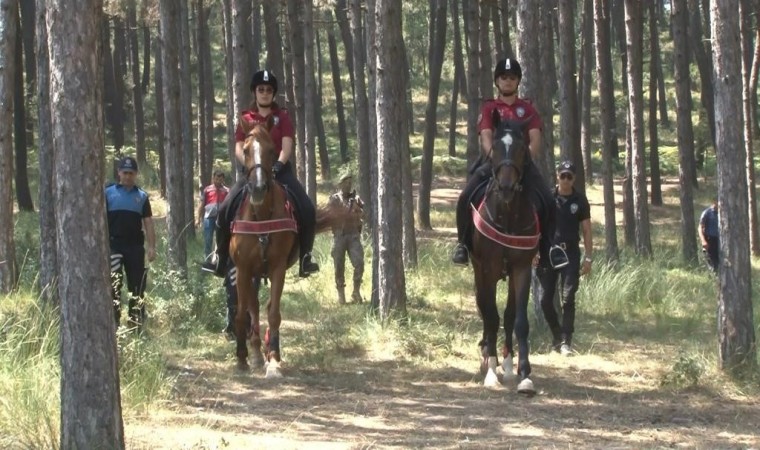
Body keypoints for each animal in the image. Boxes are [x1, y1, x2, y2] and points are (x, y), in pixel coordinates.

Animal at [227, 114, 342, 378]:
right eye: (245, 150)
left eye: (271, 150)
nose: (258, 188)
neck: (261, 215)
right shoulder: (244, 268)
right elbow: (242, 312)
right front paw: (242, 359)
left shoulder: (278, 268)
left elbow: (274, 313)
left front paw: (273, 361)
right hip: (250, 273)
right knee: (252, 306)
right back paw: (255, 353)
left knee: (264, 307)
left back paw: (267, 352)